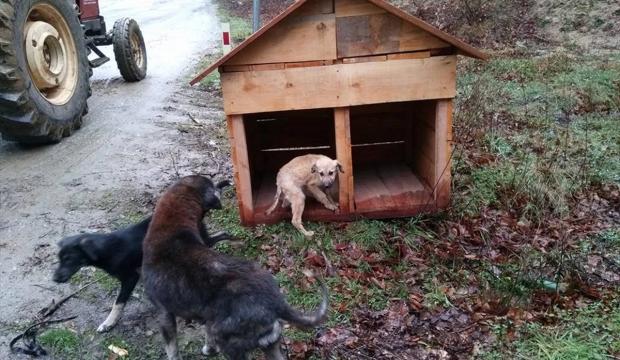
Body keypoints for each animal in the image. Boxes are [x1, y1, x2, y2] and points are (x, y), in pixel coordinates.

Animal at [52, 183, 232, 332]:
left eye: (69, 259)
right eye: (59, 258)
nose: (55, 278)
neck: (105, 248)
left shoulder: (130, 277)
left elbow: (118, 303)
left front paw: (109, 323)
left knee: (221, 236)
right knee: (221, 235)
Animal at [142, 176, 326, 360]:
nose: (221, 185)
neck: (172, 225)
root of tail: (276, 302)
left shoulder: (164, 314)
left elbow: (172, 349)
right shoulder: (206, 316)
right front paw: (209, 349)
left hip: (231, 345)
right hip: (270, 344)